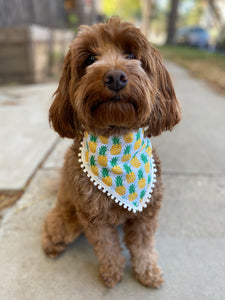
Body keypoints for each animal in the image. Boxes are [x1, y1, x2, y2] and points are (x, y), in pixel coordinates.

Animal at [42, 17, 181, 288]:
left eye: (131, 54)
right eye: (89, 59)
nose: (115, 76)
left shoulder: (146, 213)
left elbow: (143, 246)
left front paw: (147, 271)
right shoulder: (93, 218)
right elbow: (107, 247)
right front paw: (112, 272)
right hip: (70, 214)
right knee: (55, 224)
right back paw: (52, 243)